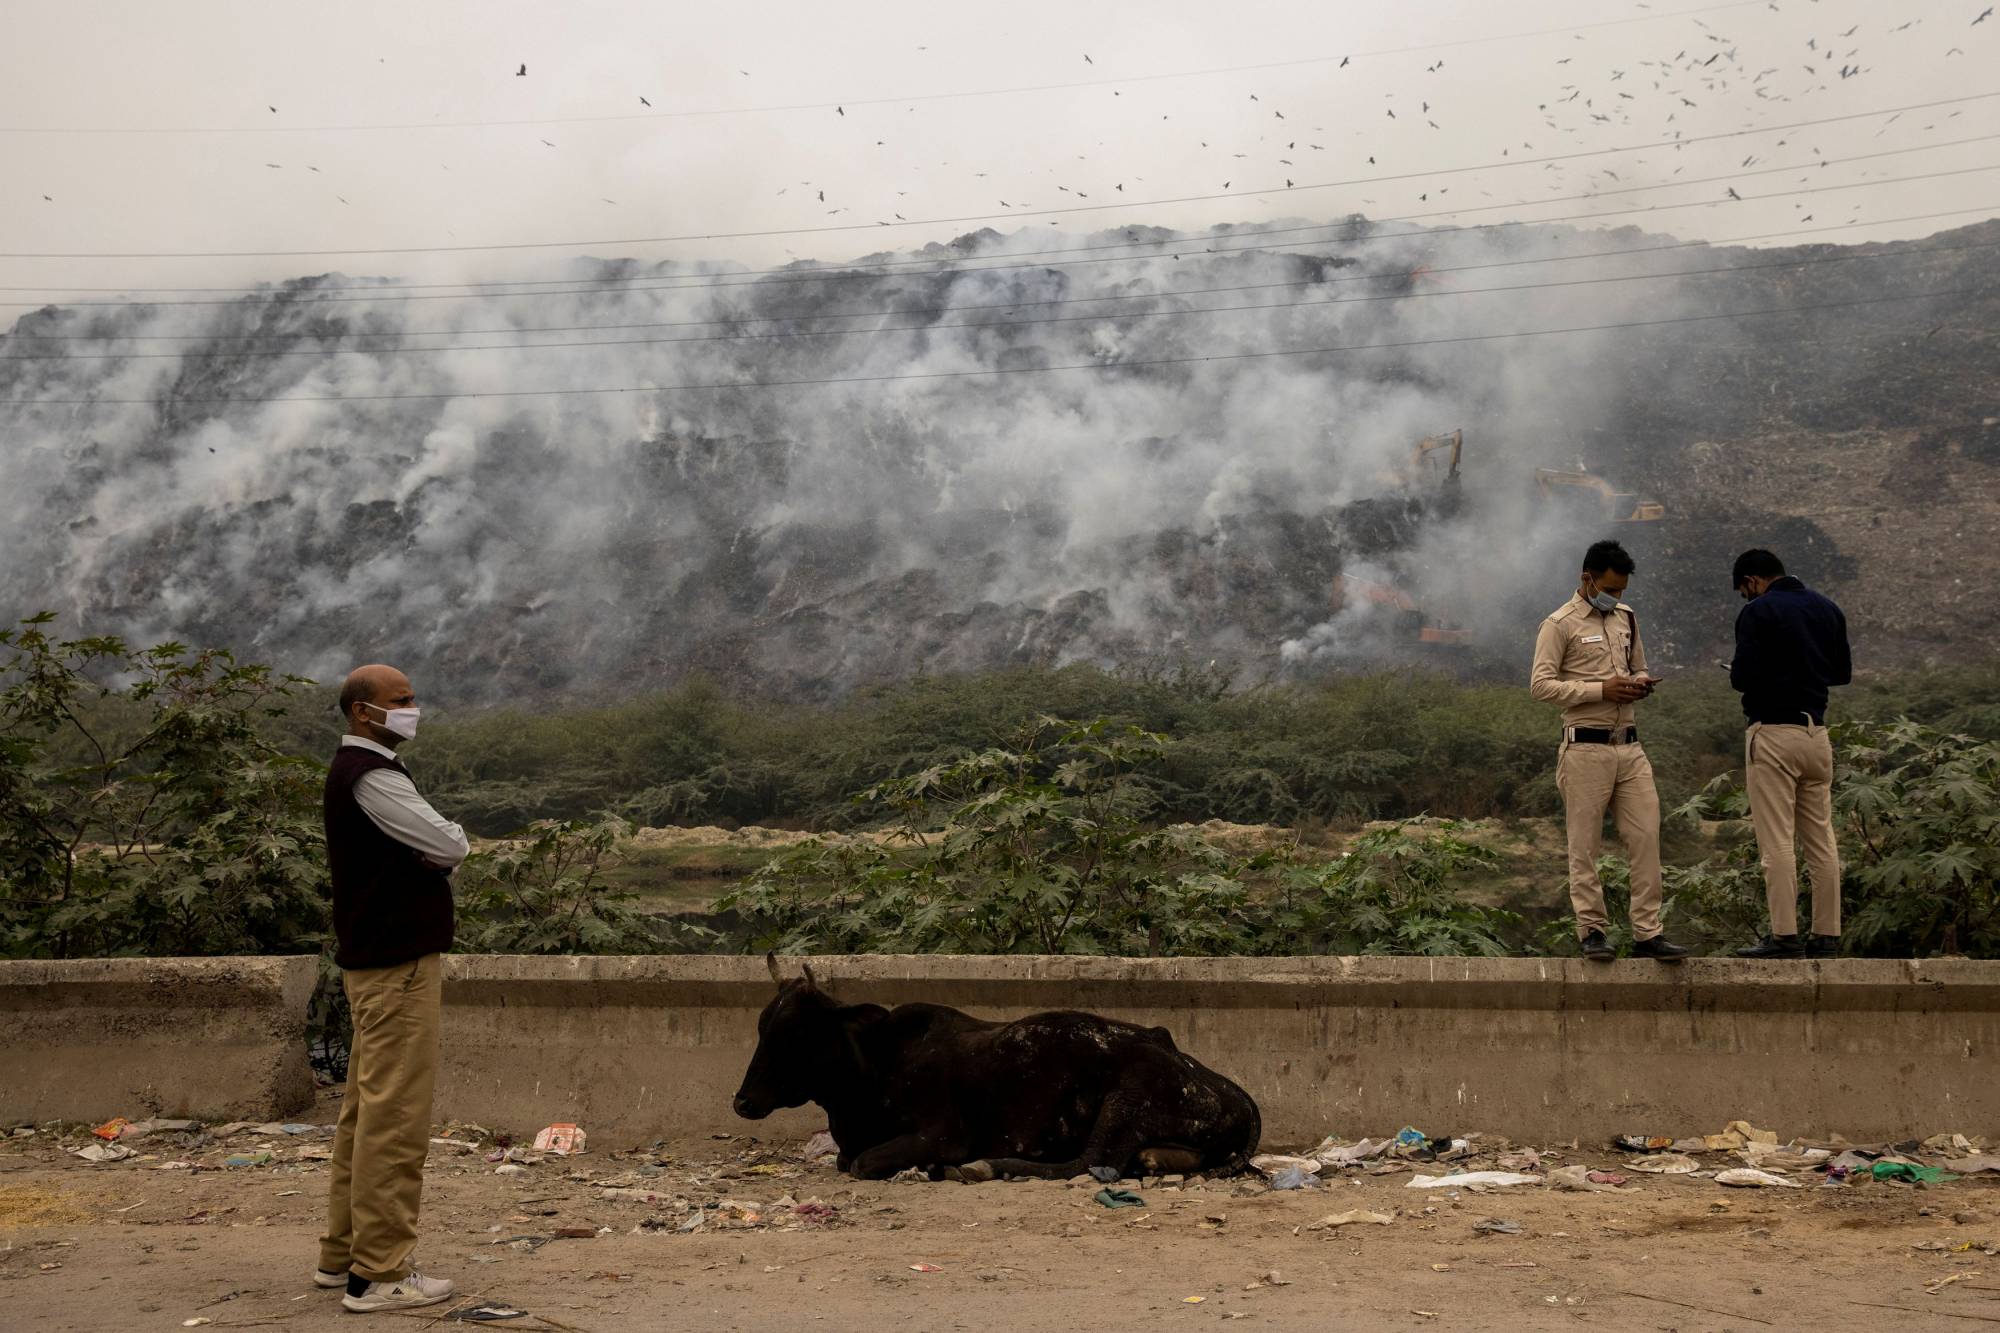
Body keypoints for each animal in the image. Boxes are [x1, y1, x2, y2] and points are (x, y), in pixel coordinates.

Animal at [736, 948, 1264, 1176]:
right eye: (761, 1025)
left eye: (797, 1032)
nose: (742, 1102)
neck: (877, 1067)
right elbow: (847, 1159)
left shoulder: (941, 1135)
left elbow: (861, 1163)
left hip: (1127, 1101)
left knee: (1087, 1163)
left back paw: (991, 1165)